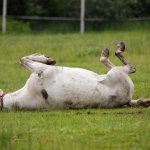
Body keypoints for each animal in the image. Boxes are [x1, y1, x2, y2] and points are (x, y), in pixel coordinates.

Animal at [0, 41, 150, 110]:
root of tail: (128, 100)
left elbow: (22, 60)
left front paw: (45, 57)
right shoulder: (44, 71)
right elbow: (23, 60)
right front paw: (46, 59)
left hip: (111, 74)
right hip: (117, 74)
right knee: (130, 68)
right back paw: (115, 49)